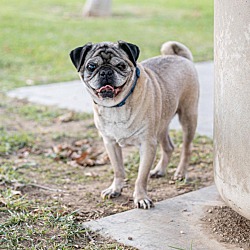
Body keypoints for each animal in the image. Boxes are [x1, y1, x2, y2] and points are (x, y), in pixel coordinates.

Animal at [69, 40, 198, 209]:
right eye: (91, 66)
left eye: (121, 66)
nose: (105, 72)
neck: (116, 105)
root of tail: (179, 57)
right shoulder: (110, 143)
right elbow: (118, 170)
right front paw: (115, 189)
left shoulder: (147, 144)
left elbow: (141, 176)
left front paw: (141, 197)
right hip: (161, 125)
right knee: (168, 147)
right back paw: (159, 170)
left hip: (188, 117)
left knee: (186, 149)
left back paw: (181, 173)